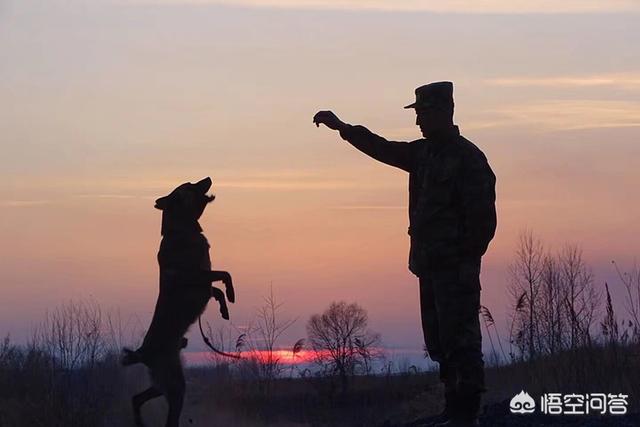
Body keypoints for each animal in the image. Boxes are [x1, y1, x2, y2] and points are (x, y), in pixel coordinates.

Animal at [120, 176, 235, 426]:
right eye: (190, 185)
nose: (208, 177)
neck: (181, 230)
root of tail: (142, 352)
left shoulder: (203, 283)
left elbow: (216, 290)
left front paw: (225, 308)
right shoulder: (196, 277)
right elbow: (225, 274)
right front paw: (231, 294)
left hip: (162, 383)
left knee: (136, 398)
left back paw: (139, 421)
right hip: (175, 386)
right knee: (168, 417)